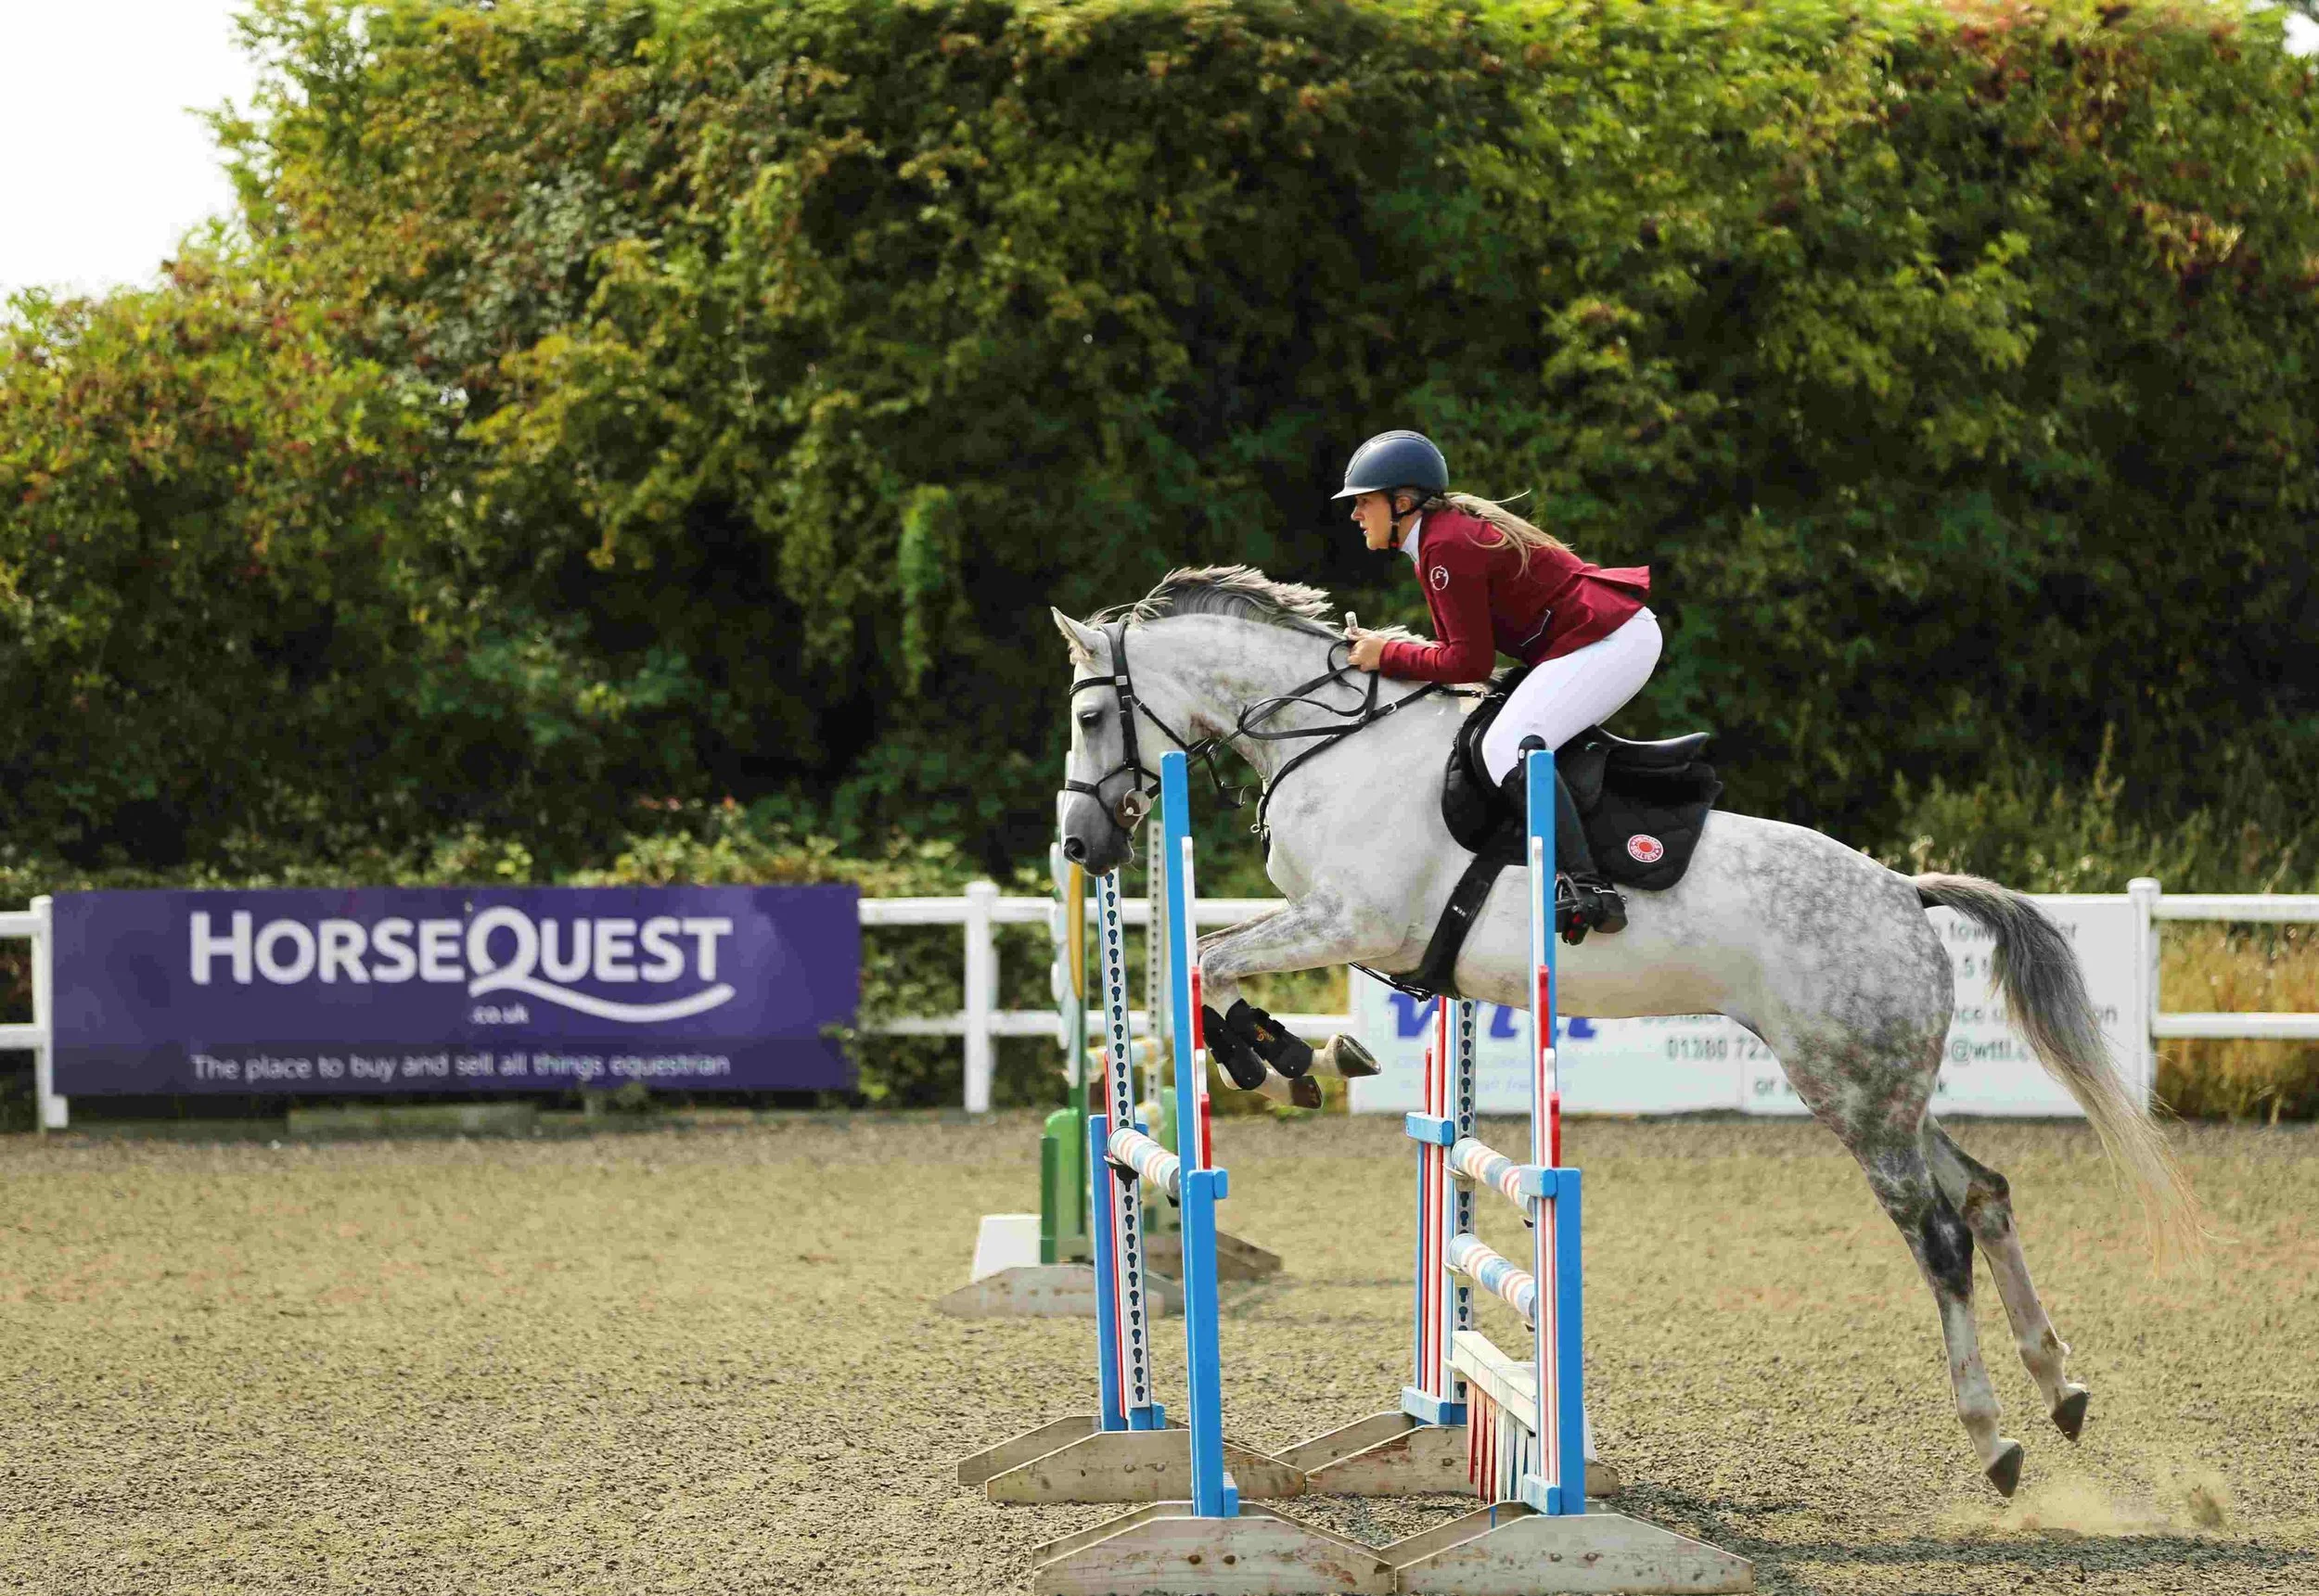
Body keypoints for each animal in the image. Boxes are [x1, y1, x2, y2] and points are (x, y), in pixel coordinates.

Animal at [1051, 565, 2195, 1499]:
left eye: (1094, 713)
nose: (1080, 842)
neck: (1332, 745)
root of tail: (1905, 894)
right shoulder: (1343, 927)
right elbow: (1209, 964)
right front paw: (1301, 1053)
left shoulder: (1350, 918)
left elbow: (1205, 965)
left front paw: (1282, 1055)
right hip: (1879, 1085)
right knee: (1986, 1193)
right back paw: (2060, 1387)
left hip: (1852, 1091)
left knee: (1940, 1235)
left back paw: (1994, 1437)